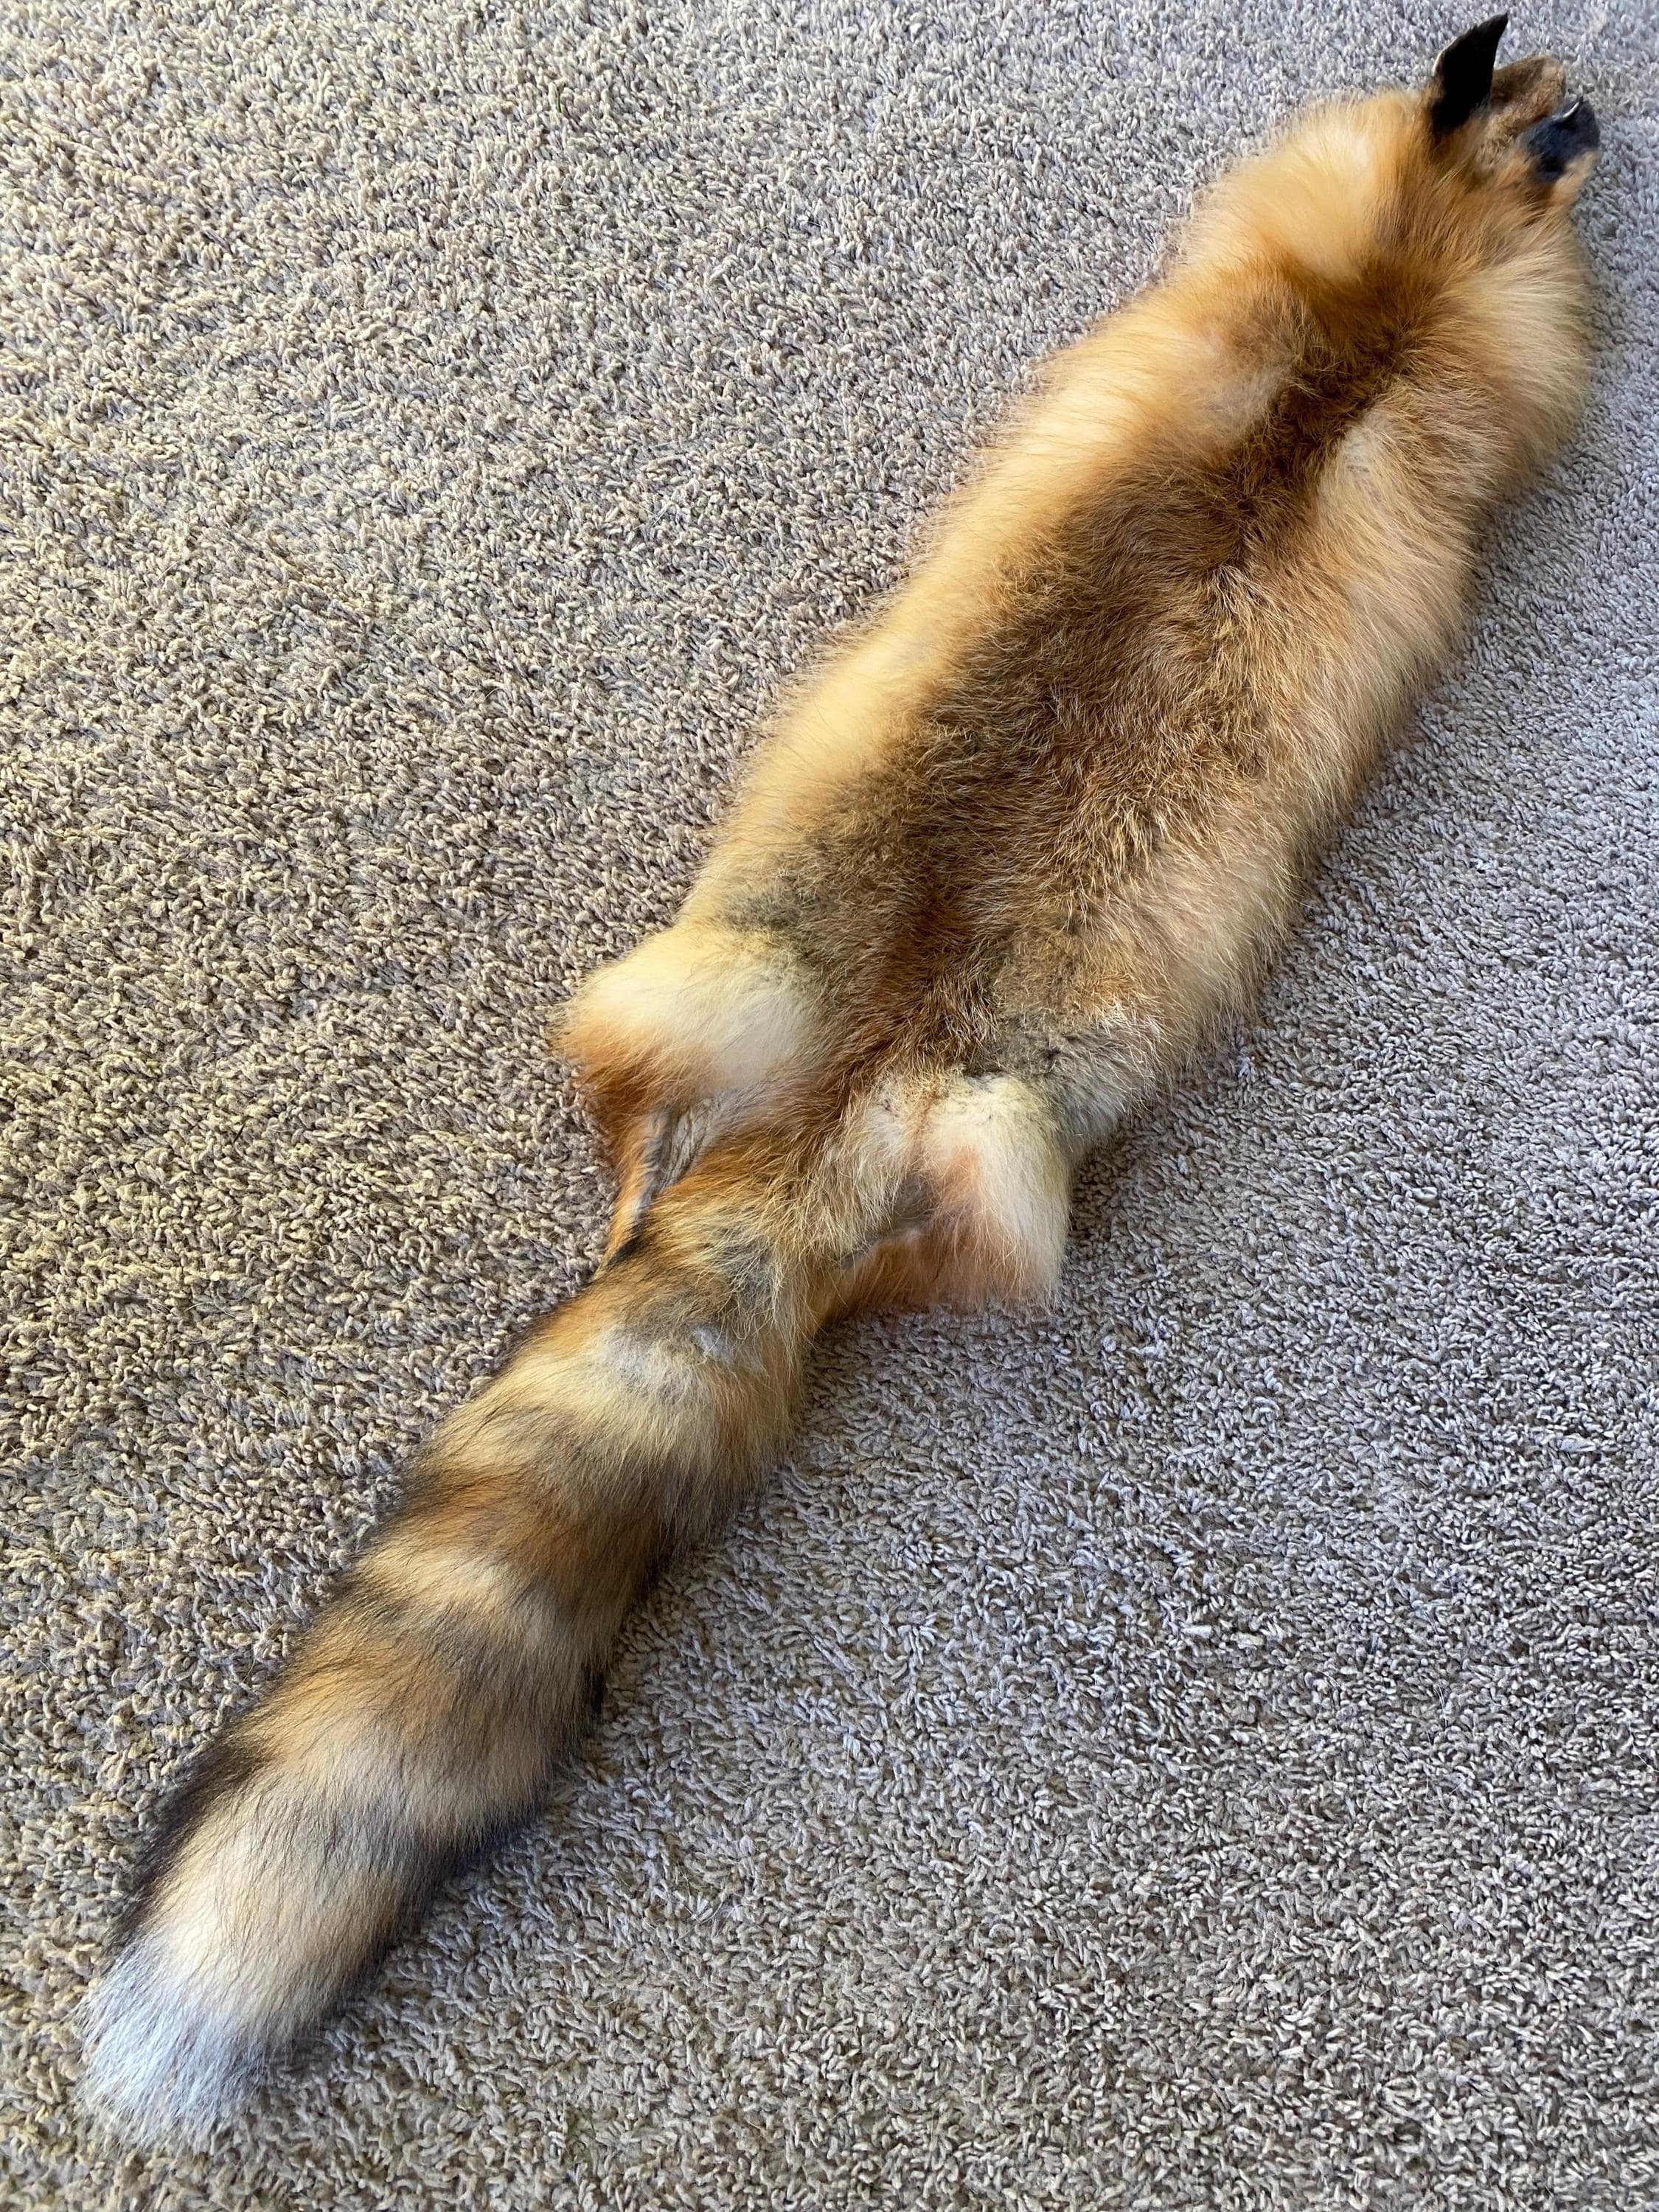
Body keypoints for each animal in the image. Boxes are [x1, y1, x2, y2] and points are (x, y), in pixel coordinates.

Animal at [79, 17, 1599, 2140]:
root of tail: (841, 1106)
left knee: (634, 1146)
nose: (1606, 107)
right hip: (918, 1116)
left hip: (708, 989)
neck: (1390, 286)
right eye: (1553, 108)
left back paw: (630, 1212)